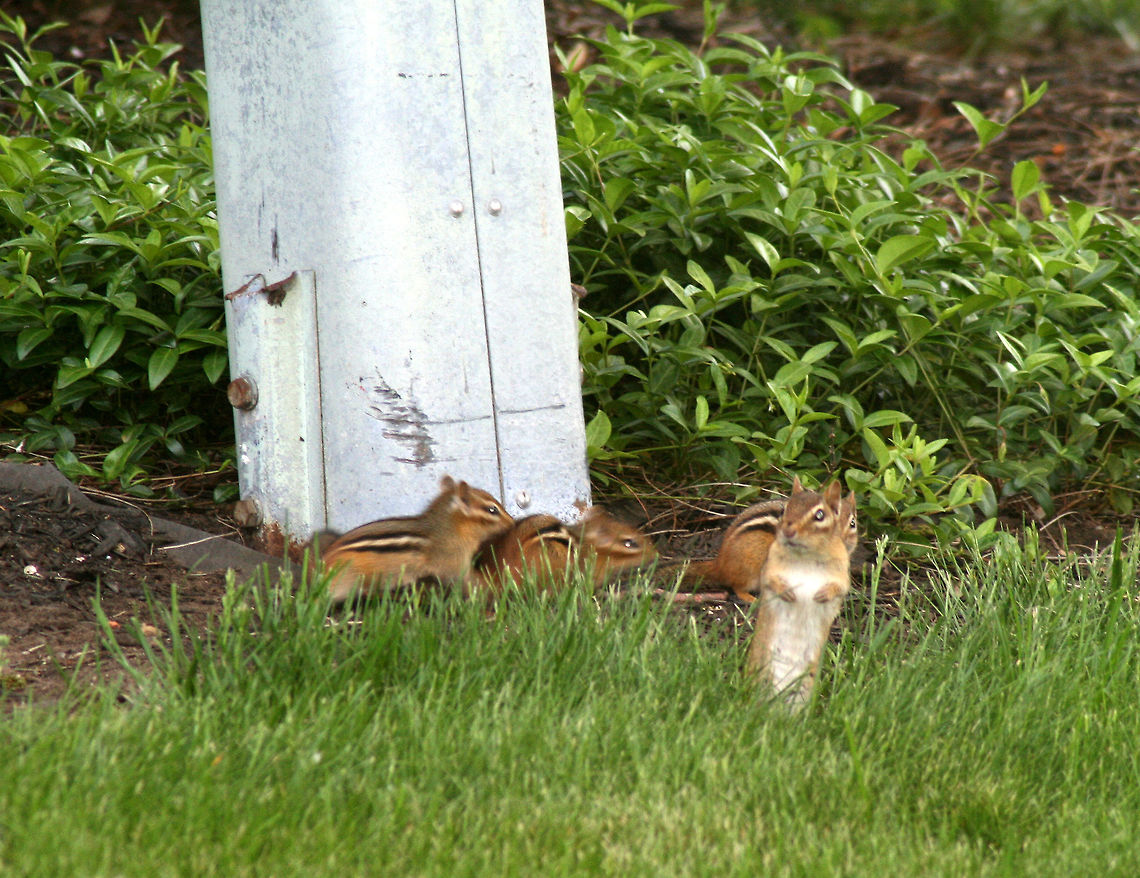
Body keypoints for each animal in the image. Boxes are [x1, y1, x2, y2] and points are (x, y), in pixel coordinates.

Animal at [321, 475, 512, 603]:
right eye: (492, 510)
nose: (511, 522)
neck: (447, 529)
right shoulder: (454, 563)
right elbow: (466, 579)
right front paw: (490, 589)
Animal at [745, 477, 856, 711]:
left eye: (820, 515)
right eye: (785, 508)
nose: (788, 531)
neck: (807, 557)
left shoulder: (842, 574)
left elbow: (840, 587)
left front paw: (822, 595)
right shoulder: (770, 567)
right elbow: (770, 580)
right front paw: (787, 592)